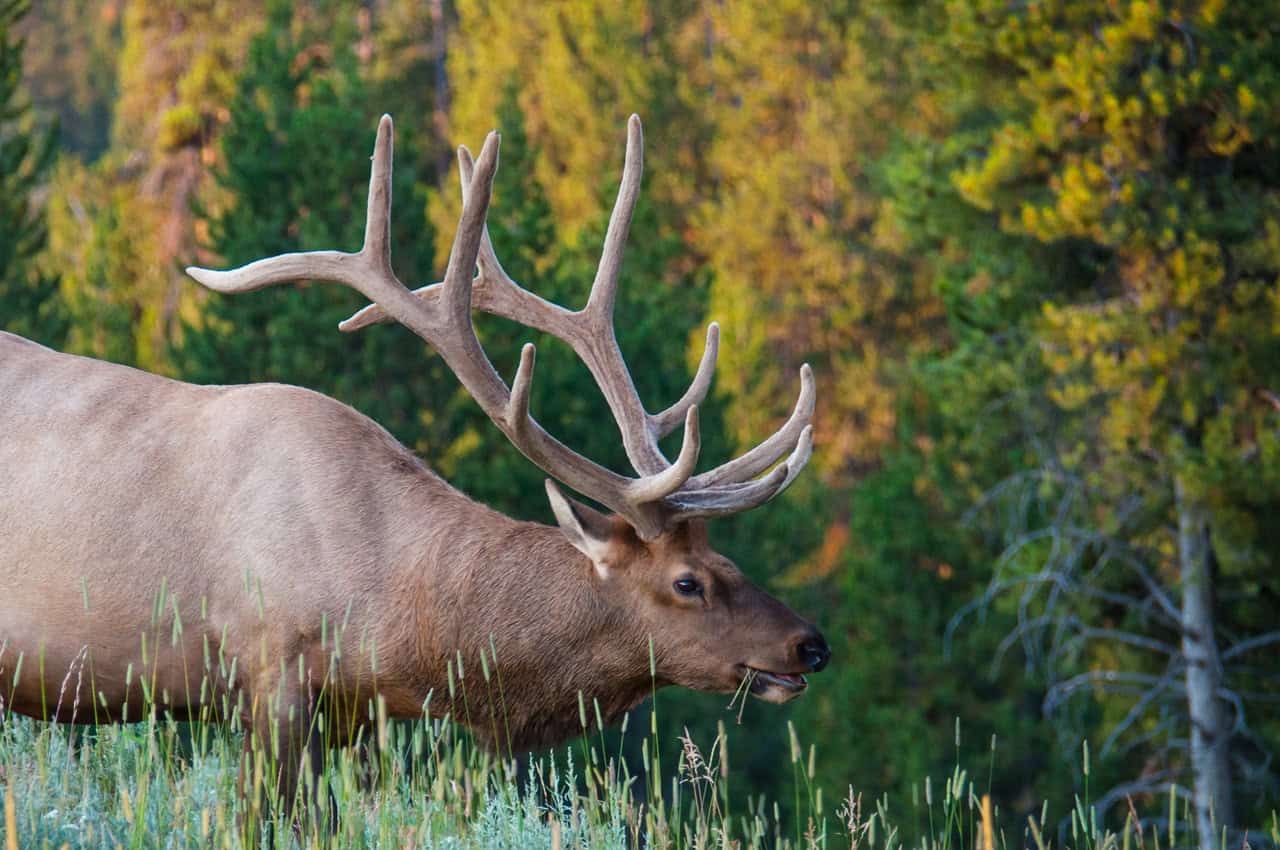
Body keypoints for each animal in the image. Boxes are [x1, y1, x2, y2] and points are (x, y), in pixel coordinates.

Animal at [0, 116, 829, 814]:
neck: (392, 612)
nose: (809, 644)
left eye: (727, 559)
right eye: (687, 582)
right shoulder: (267, 672)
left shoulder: (354, 713)